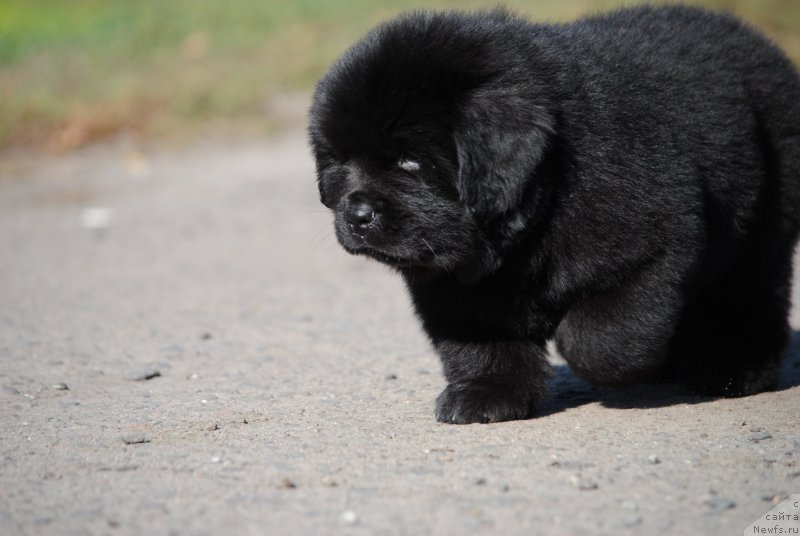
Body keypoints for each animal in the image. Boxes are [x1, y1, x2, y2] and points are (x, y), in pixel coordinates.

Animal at [308, 4, 800, 422]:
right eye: (339, 162)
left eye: (409, 161)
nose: (357, 215)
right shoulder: (452, 286)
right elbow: (479, 343)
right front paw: (486, 396)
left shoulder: (654, 246)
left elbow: (600, 337)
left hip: (766, 224)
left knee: (748, 294)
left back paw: (732, 369)